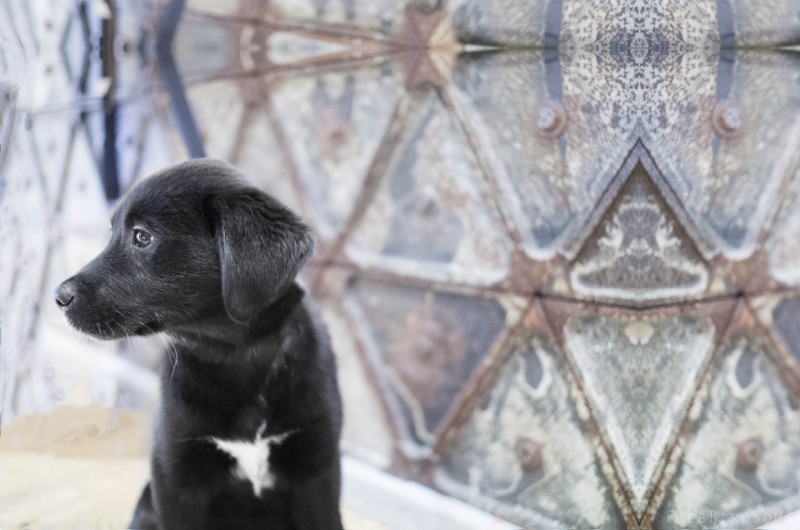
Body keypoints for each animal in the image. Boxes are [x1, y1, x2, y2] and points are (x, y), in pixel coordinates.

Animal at [55, 158, 344, 528]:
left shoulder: (318, 474)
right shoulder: (174, 479)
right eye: (112, 233)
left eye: (142, 236)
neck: (234, 355)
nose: (58, 296)